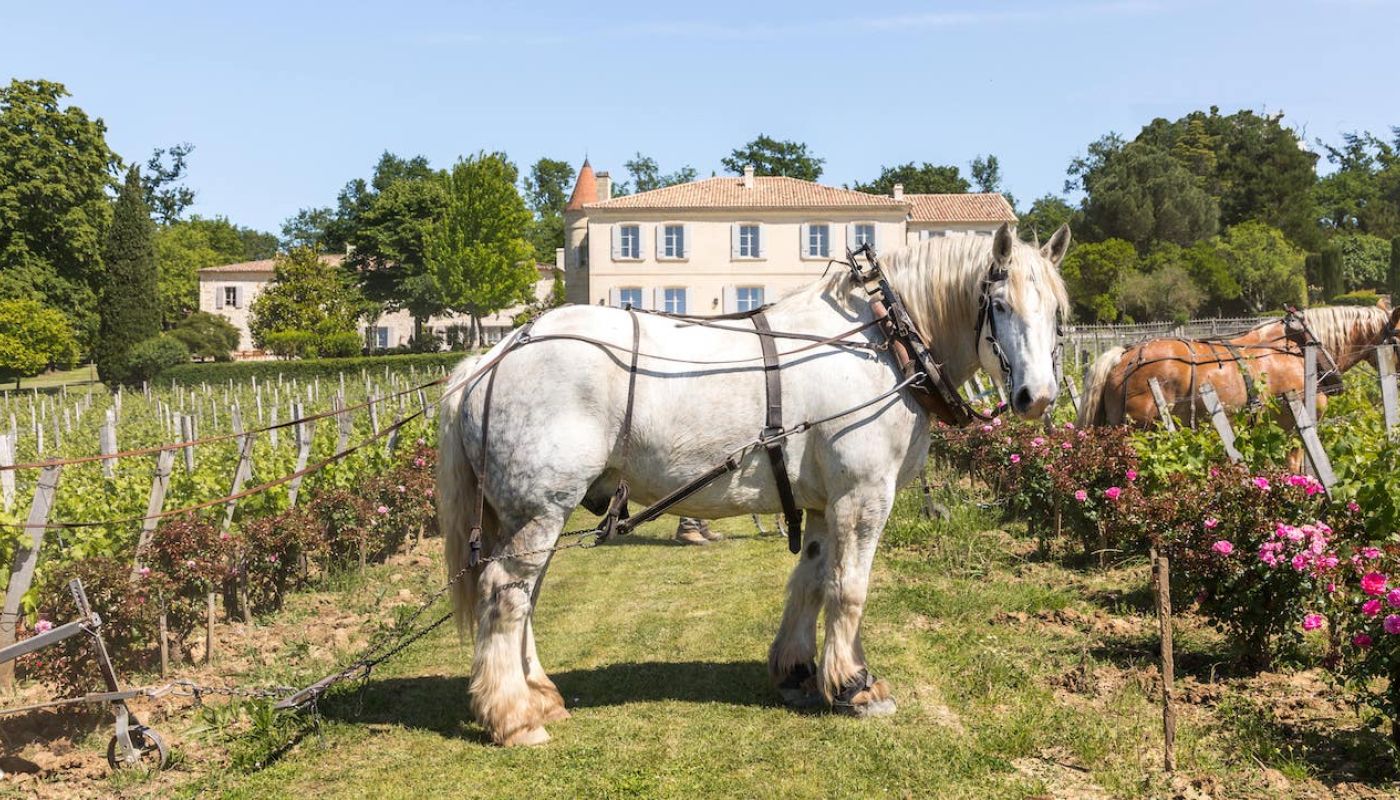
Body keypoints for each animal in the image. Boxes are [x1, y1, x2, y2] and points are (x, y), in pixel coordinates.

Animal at [437, 223, 1071, 746]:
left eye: (1058, 313)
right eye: (998, 304)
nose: (1037, 397)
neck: (885, 343)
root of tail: (495, 354)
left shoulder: (824, 504)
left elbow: (811, 582)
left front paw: (798, 673)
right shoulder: (864, 495)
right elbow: (849, 589)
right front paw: (856, 684)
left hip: (529, 514)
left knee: (525, 595)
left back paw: (540, 696)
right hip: (540, 509)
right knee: (505, 593)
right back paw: (514, 717)